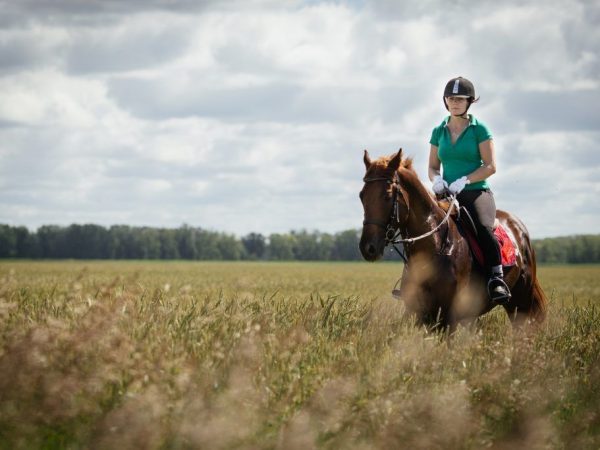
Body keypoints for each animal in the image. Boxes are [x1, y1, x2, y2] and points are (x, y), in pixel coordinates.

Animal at [358, 149, 548, 330]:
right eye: (362, 195)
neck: (435, 245)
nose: (368, 248)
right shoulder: (419, 314)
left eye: (387, 195)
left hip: (521, 301)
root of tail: (519, 226)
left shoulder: (449, 316)